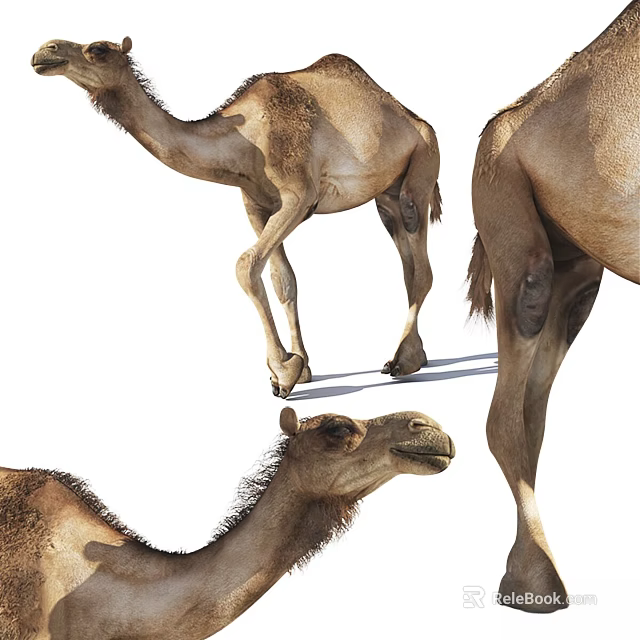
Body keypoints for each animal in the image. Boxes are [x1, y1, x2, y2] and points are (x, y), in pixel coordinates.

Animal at [31, 39, 442, 399]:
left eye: (98, 49)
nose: (43, 52)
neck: (245, 138)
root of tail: (416, 118)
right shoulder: (256, 204)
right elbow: (283, 281)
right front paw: (302, 367)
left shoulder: (299, 194)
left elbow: (245, 265)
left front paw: (282, 372)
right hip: (386, 196)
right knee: (407, 265)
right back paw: (419, 356)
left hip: (422, 165)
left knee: (421, 265)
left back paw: (403, 360)